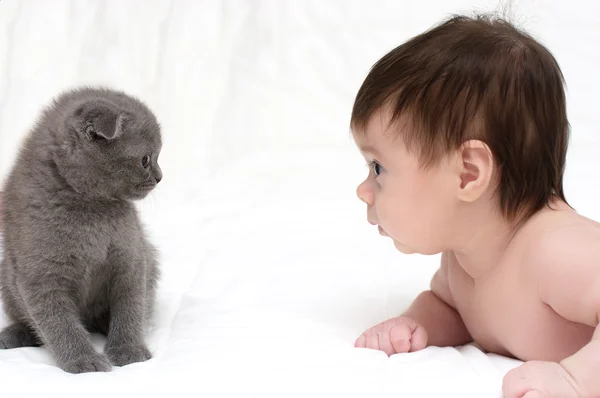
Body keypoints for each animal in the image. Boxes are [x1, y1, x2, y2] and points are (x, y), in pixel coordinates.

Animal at [0, 87, 162, 374]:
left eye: (156, 156)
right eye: (145, 159)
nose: (160, 176)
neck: (90, 209)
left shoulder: (132, 259)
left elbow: (130, 307)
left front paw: (128, 350)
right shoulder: (39, 276)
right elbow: (58, 323)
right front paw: (83, 361)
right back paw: (15, 334)